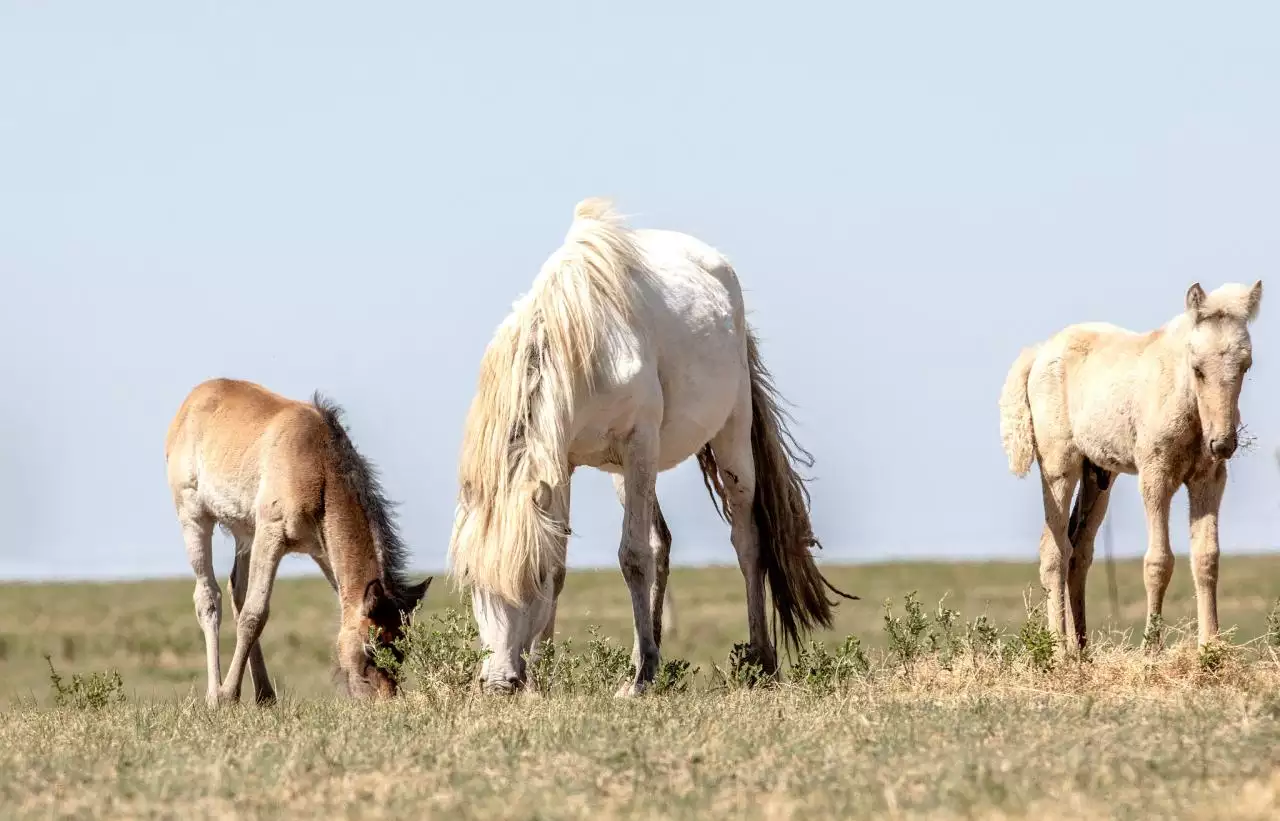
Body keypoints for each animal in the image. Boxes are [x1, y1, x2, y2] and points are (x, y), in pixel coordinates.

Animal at [165, 379, 430, 707]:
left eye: (403, 644)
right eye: (371, 645)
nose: (384, 701)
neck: (319, 464)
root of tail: (192, 401)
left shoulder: (320, 550)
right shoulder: (271, 535)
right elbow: (255, 614)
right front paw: (227, 696)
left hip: (245, 532)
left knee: (236, 591)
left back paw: (265, 694)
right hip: (194, 517)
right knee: (208, 597)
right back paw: (217, 694)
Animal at [448, 197, 849, 691]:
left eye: (531, 575)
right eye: (470, 576)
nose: (500, 682)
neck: (582, 341)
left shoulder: (639, 442)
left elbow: (632, 556)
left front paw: (635, 679)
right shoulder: (562, 462)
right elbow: (568, 559)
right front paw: (544, 674)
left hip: (729, 438)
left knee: (746, 539)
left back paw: (760, 660)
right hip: (626, 472)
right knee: (663, 543)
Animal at [998, 281, 1259, 653]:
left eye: (1246, 365)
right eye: (1197, 367)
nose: (1222, 443)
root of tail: (1038, 352)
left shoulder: (1208, 479)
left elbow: (1207, 557)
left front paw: (1211, 649)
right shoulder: (1155, 476)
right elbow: (1159, 561)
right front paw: (1152, 648)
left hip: (1097, 475)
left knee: (1079, 551)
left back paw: (1082, 651)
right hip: (1058, 467)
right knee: (1054, 550)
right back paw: (1059, 650)